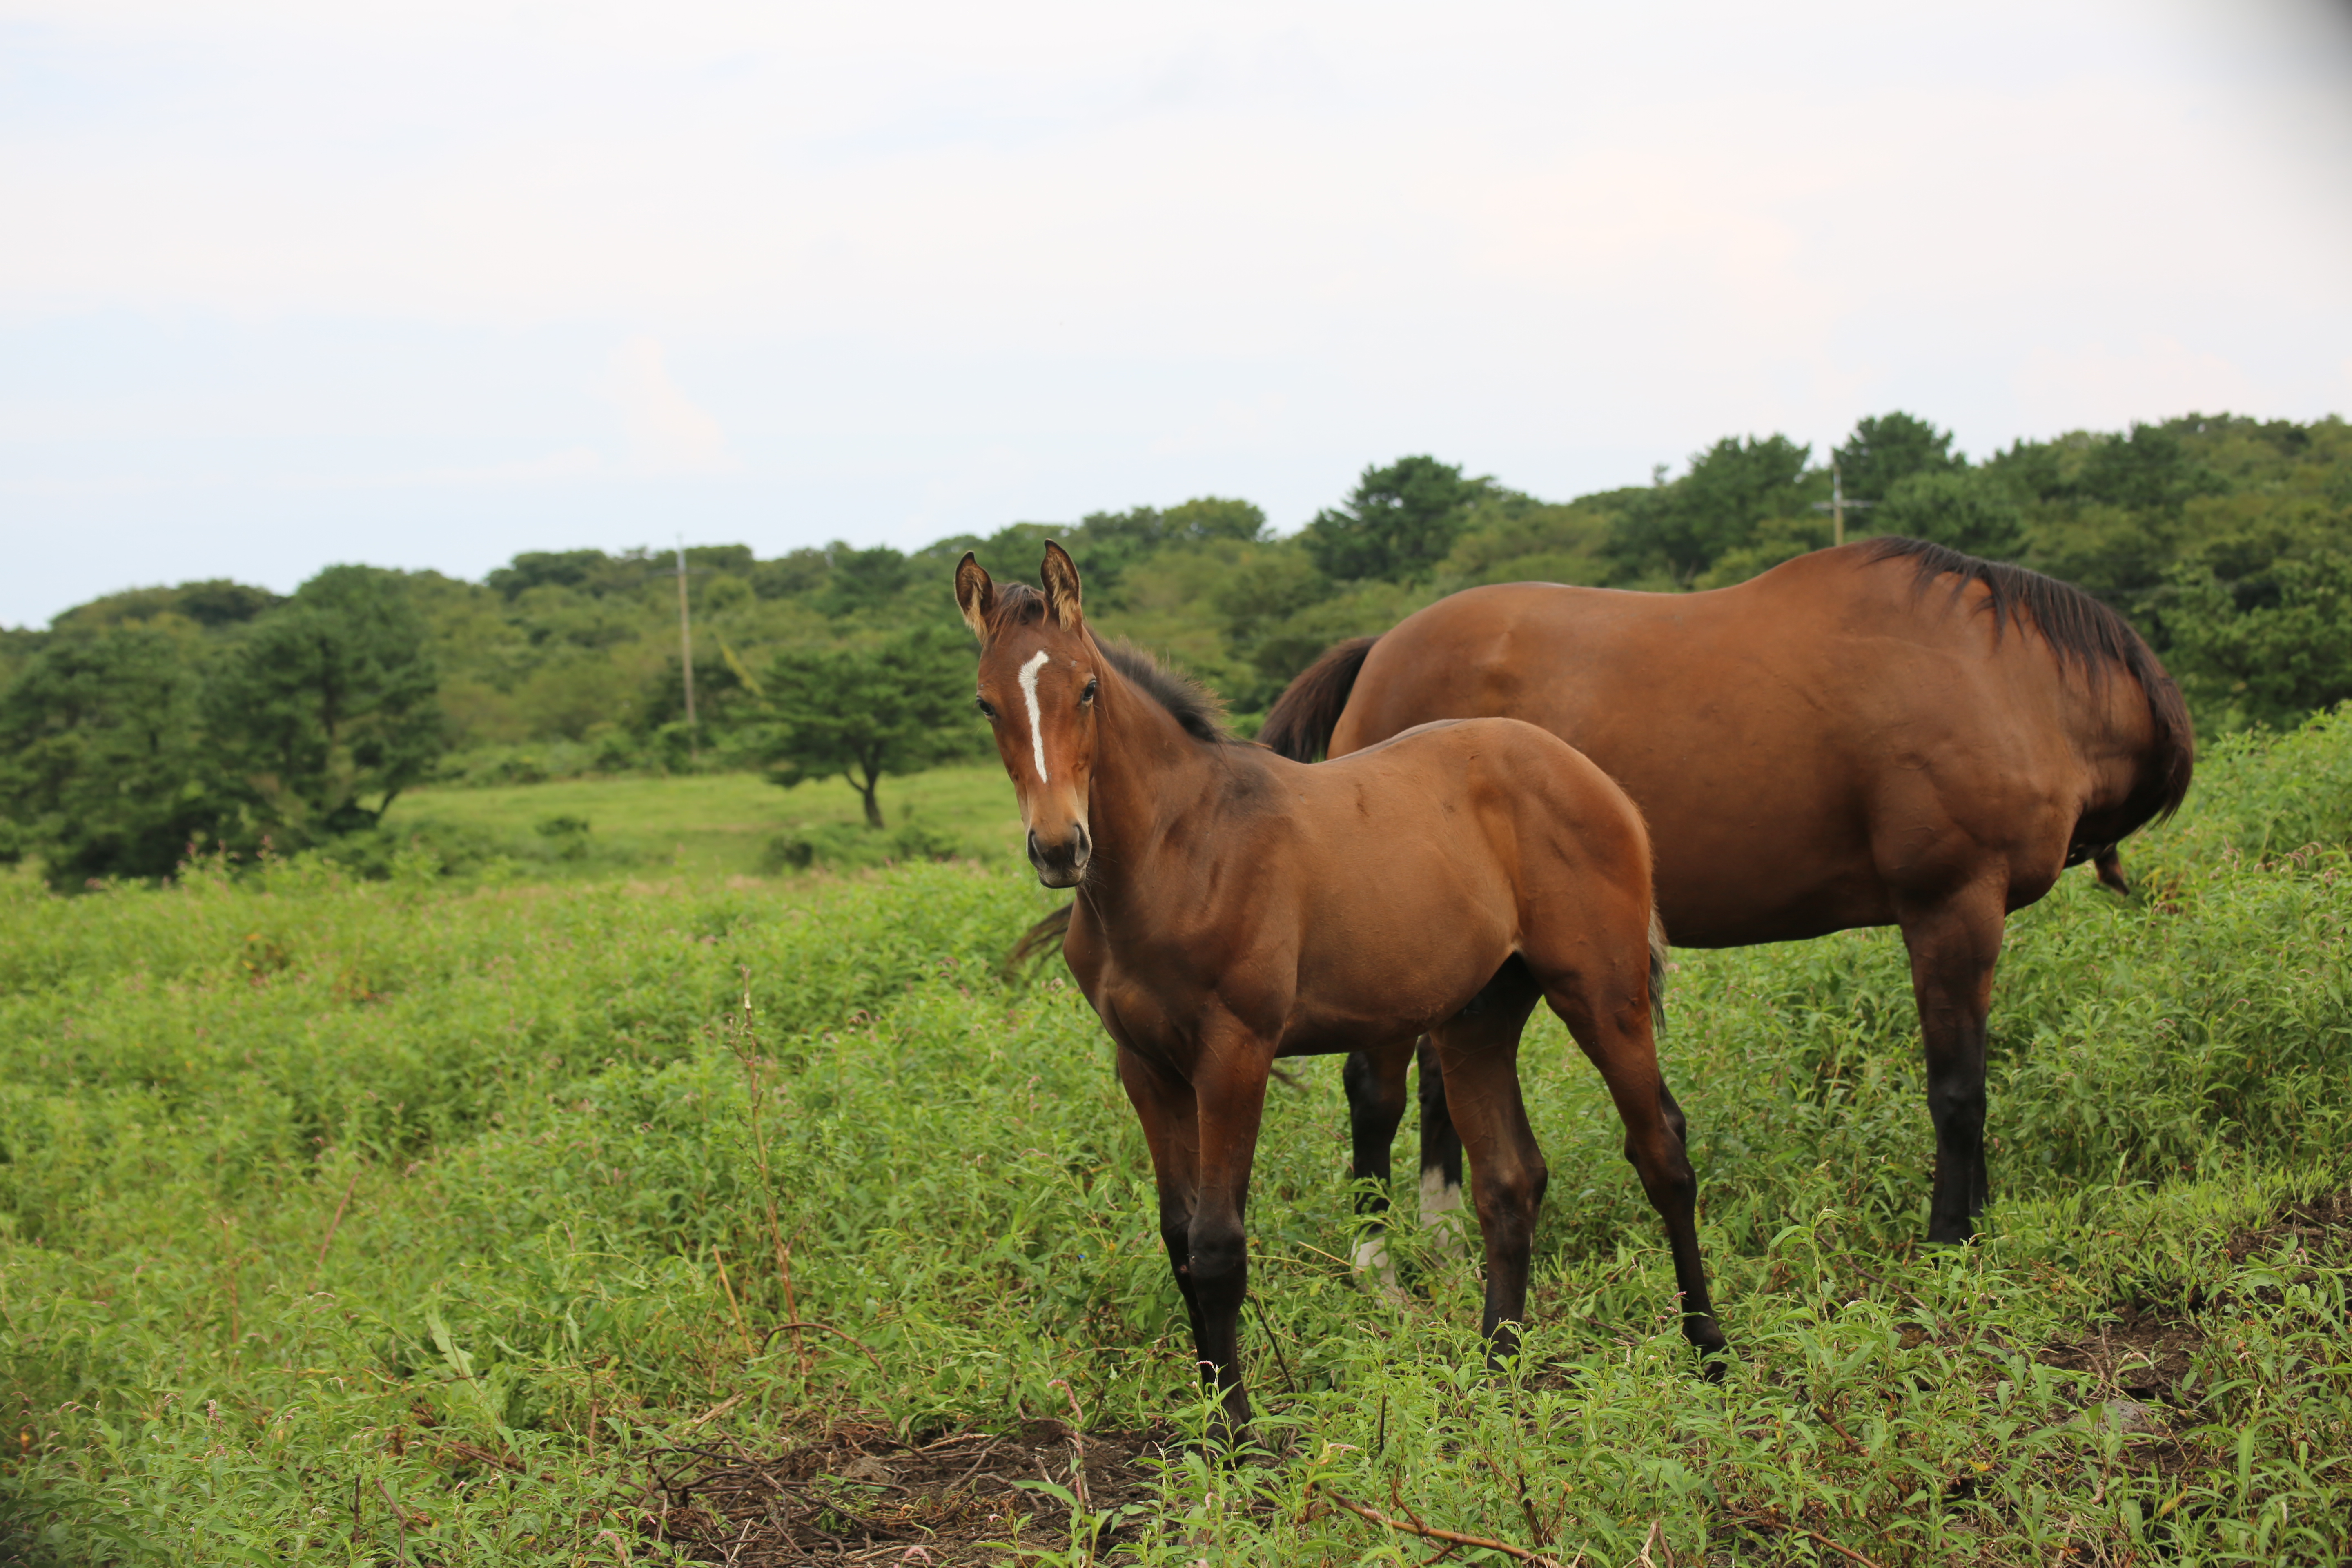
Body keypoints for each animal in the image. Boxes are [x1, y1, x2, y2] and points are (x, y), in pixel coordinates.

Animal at [955, 545, 1731, 1439]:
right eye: (985, 703)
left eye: (1085, 688)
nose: (1059, 849)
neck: (1177, 853)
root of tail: (1589, 776)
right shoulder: (1144, 1066)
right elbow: (1177, 1238)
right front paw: (1212, 1420)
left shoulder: (1235, 1054)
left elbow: (1216, 1246)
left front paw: (1239, 1438)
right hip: (1477, 1019)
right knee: (1510, 1181)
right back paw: (1493, 1377)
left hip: (1602, 993)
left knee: (1662, 1152)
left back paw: (1709, 1353)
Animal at [1261, 541, 2192, 1250]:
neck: (2010, 681)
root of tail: (1381, 650)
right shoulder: (1952, 907)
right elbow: (1958, 1089)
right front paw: (1951, 1237)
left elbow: (1975, 1072)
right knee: (1373, 1089)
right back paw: (1381, 1262)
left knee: (1432, 1087)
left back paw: (1448, 1236)